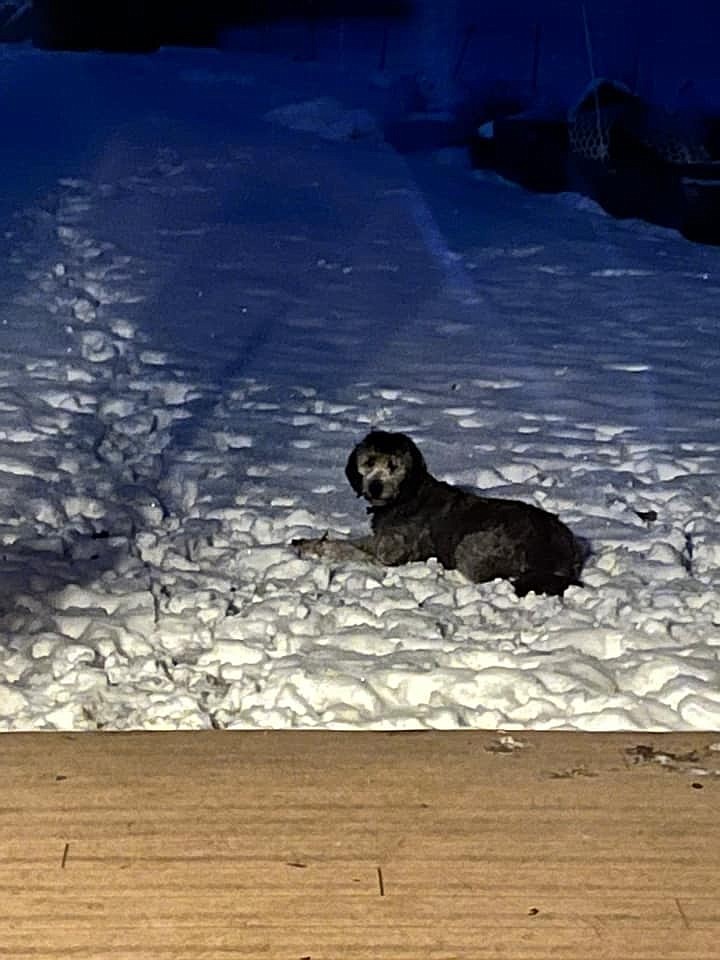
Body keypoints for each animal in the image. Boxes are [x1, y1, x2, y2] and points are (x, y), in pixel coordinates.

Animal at [296, 432, 584, 596]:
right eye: (368, 462)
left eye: (394, 466)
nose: (375, 486)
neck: (407, 494)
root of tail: (561, 551)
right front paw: (306, 541)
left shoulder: (391, 553)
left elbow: (349, 549)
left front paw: (316, 548)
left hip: (473, 546)